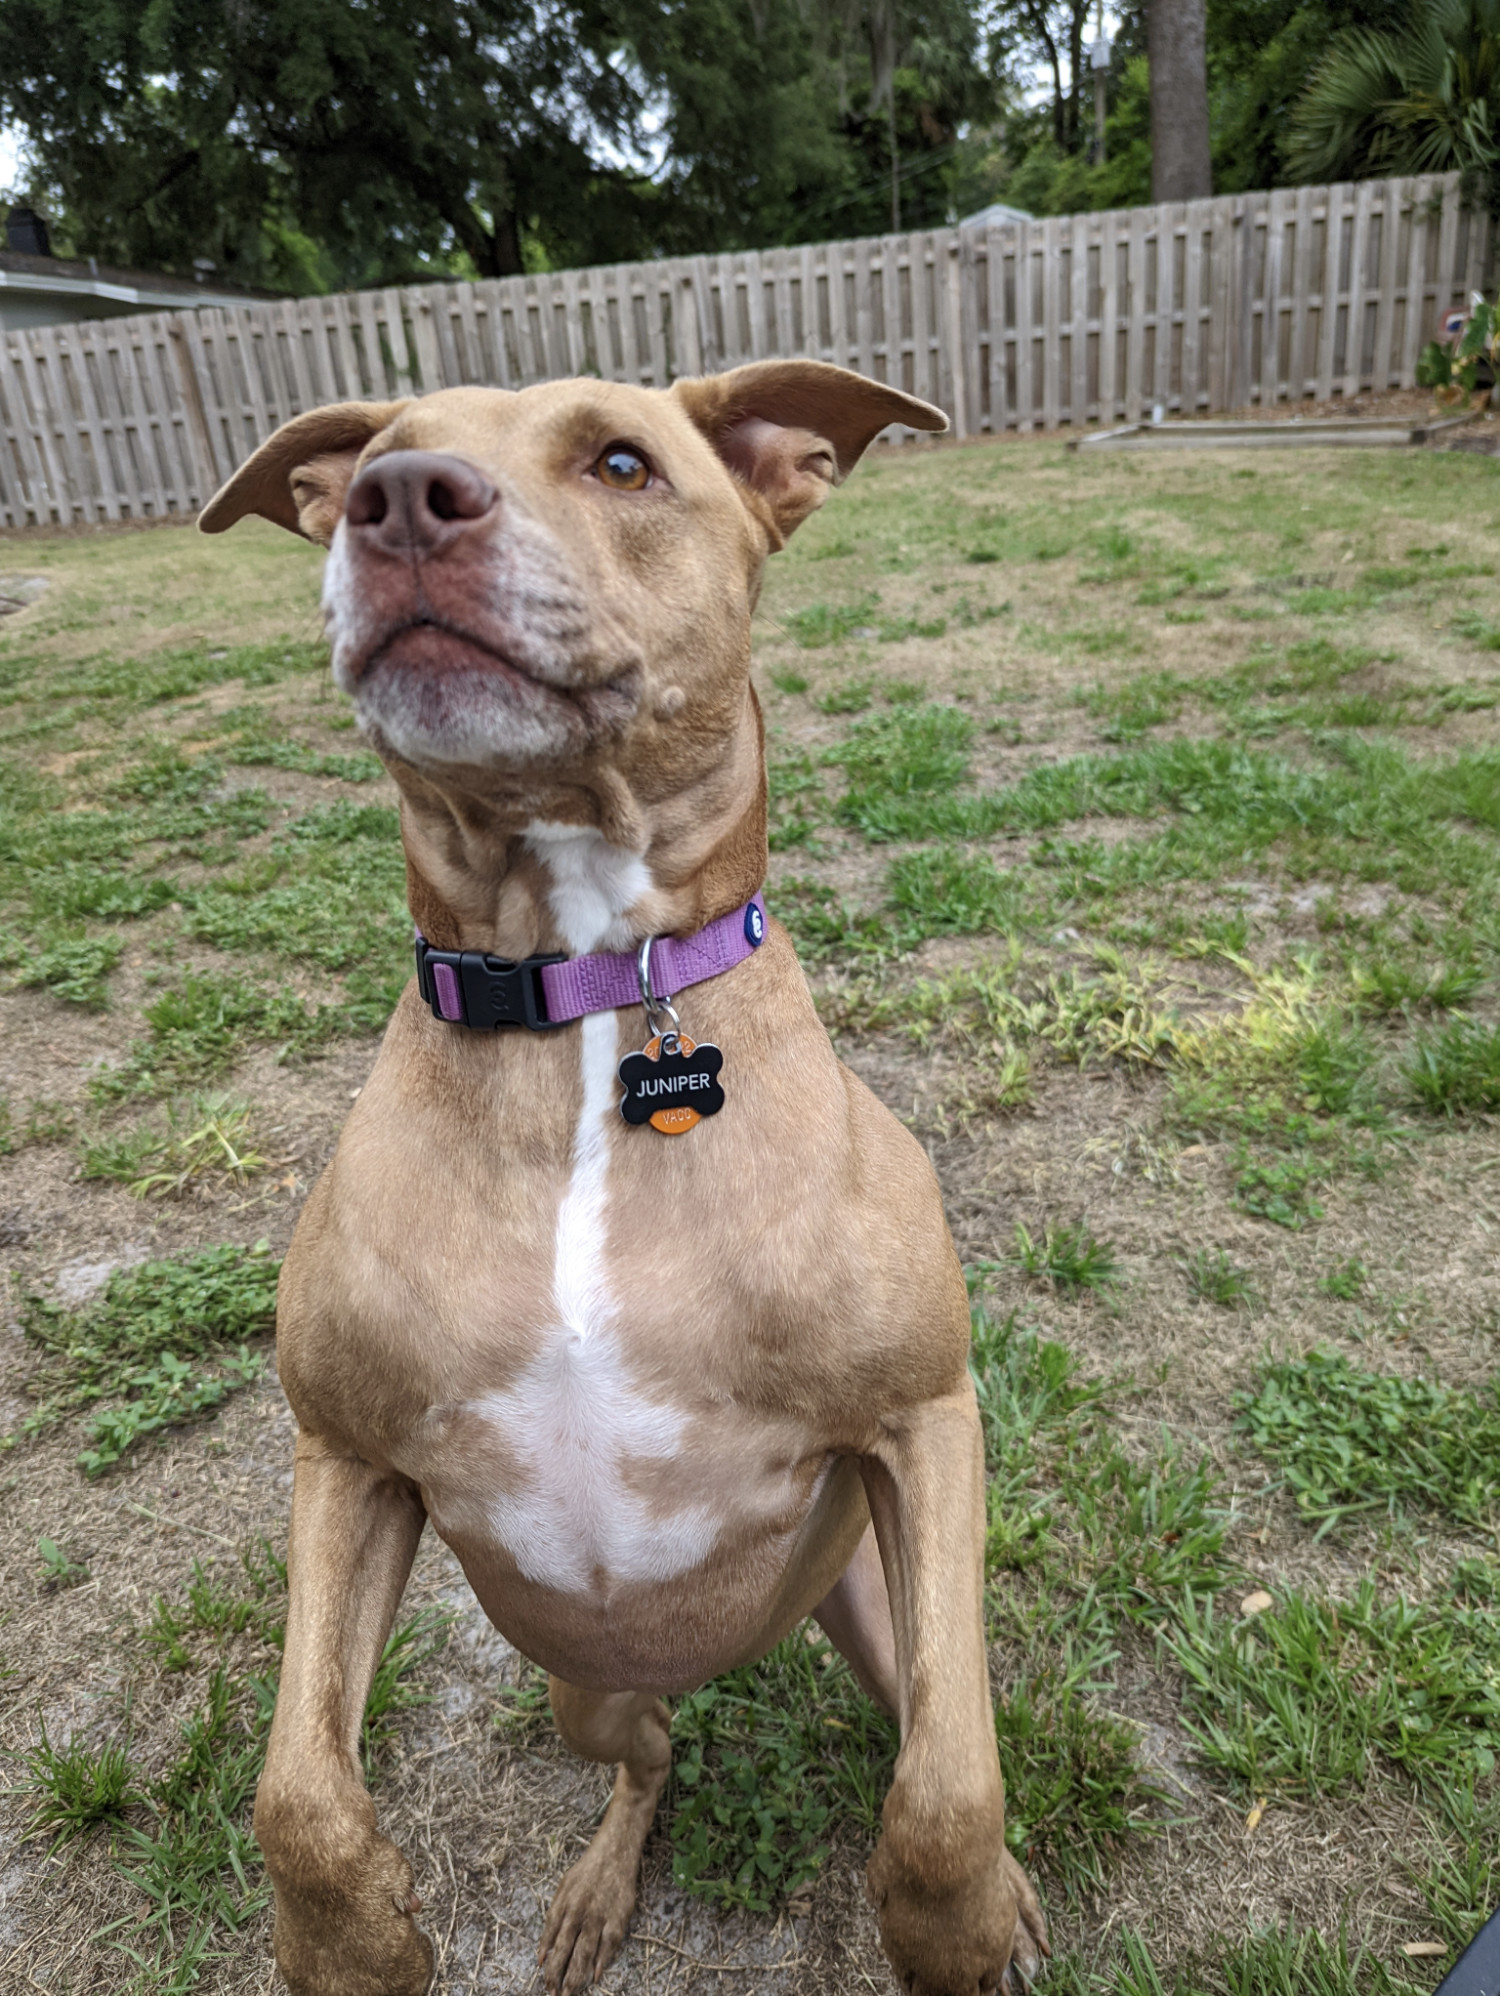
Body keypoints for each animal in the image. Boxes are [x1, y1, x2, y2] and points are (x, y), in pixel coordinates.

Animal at [199, 363, 1045, 1996]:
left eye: (622, 463)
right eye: (378, 454)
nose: (403, 501)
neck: (585, 994)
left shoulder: (927, 1417)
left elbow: (948, 1794)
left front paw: (962, 1930)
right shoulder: (348, 1456)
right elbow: (297, 1792)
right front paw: (354, 1943)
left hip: (880, 1610)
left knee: (931, 1730)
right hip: (582, 1683)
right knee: (648, 1757)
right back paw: (596, 1889)